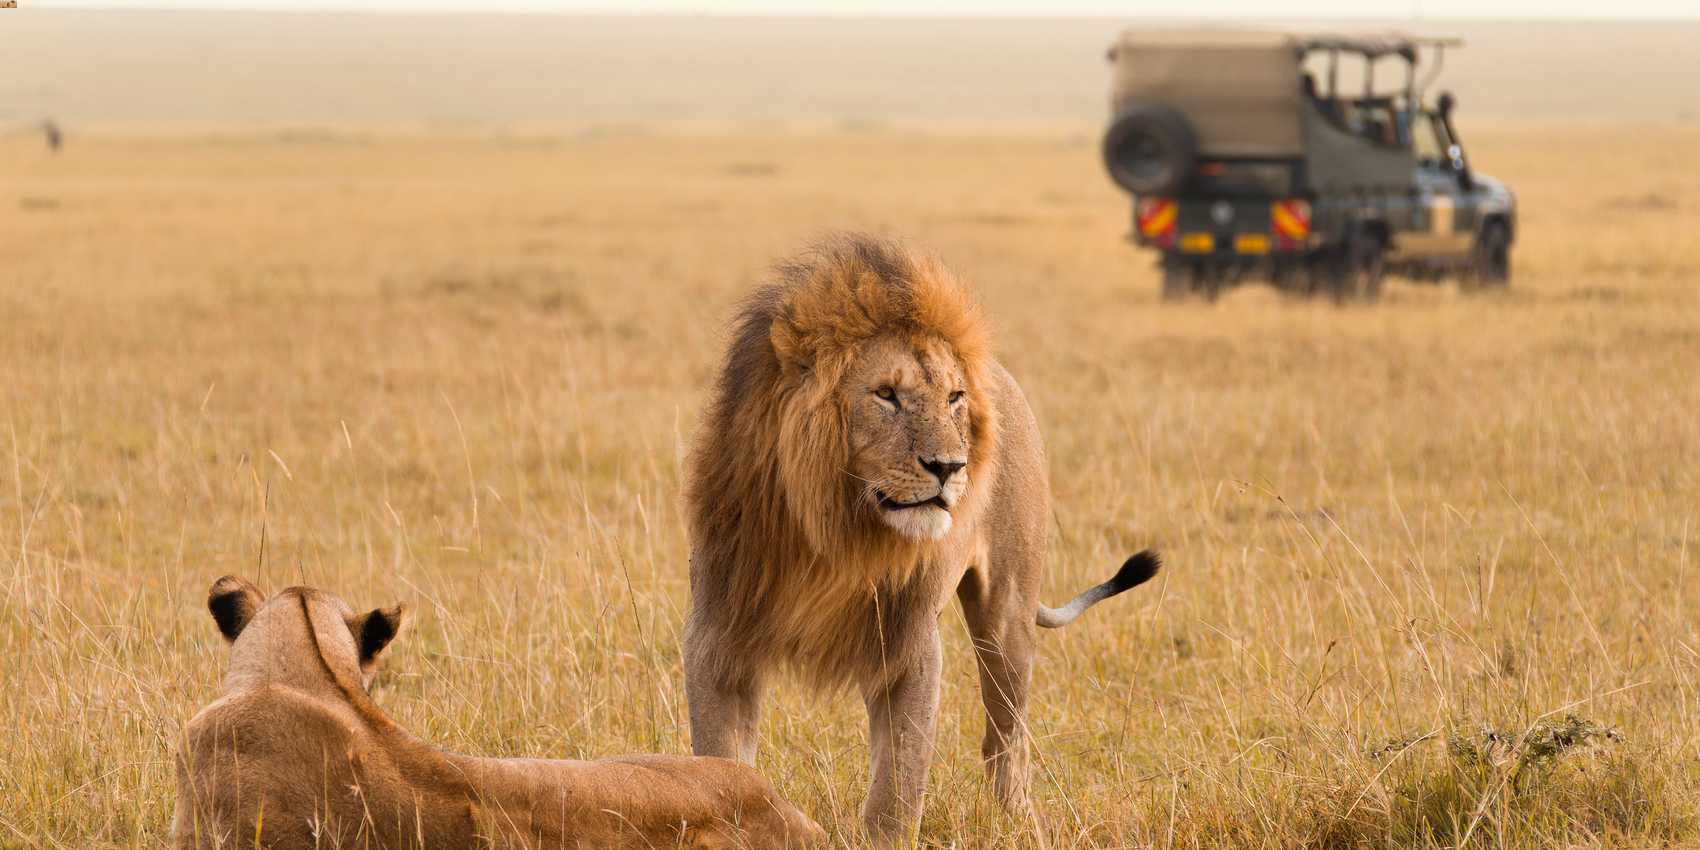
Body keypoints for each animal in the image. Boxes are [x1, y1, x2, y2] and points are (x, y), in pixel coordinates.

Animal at [682, 234, 1161, 845]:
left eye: (953, 398)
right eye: (886, 394)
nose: (949, 467)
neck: (834, 533)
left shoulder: (909, 645)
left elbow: (898, 782)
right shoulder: (719, 637)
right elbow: (720, 762)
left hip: (1007, 614)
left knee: (1006, 735)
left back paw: (1018, 821)